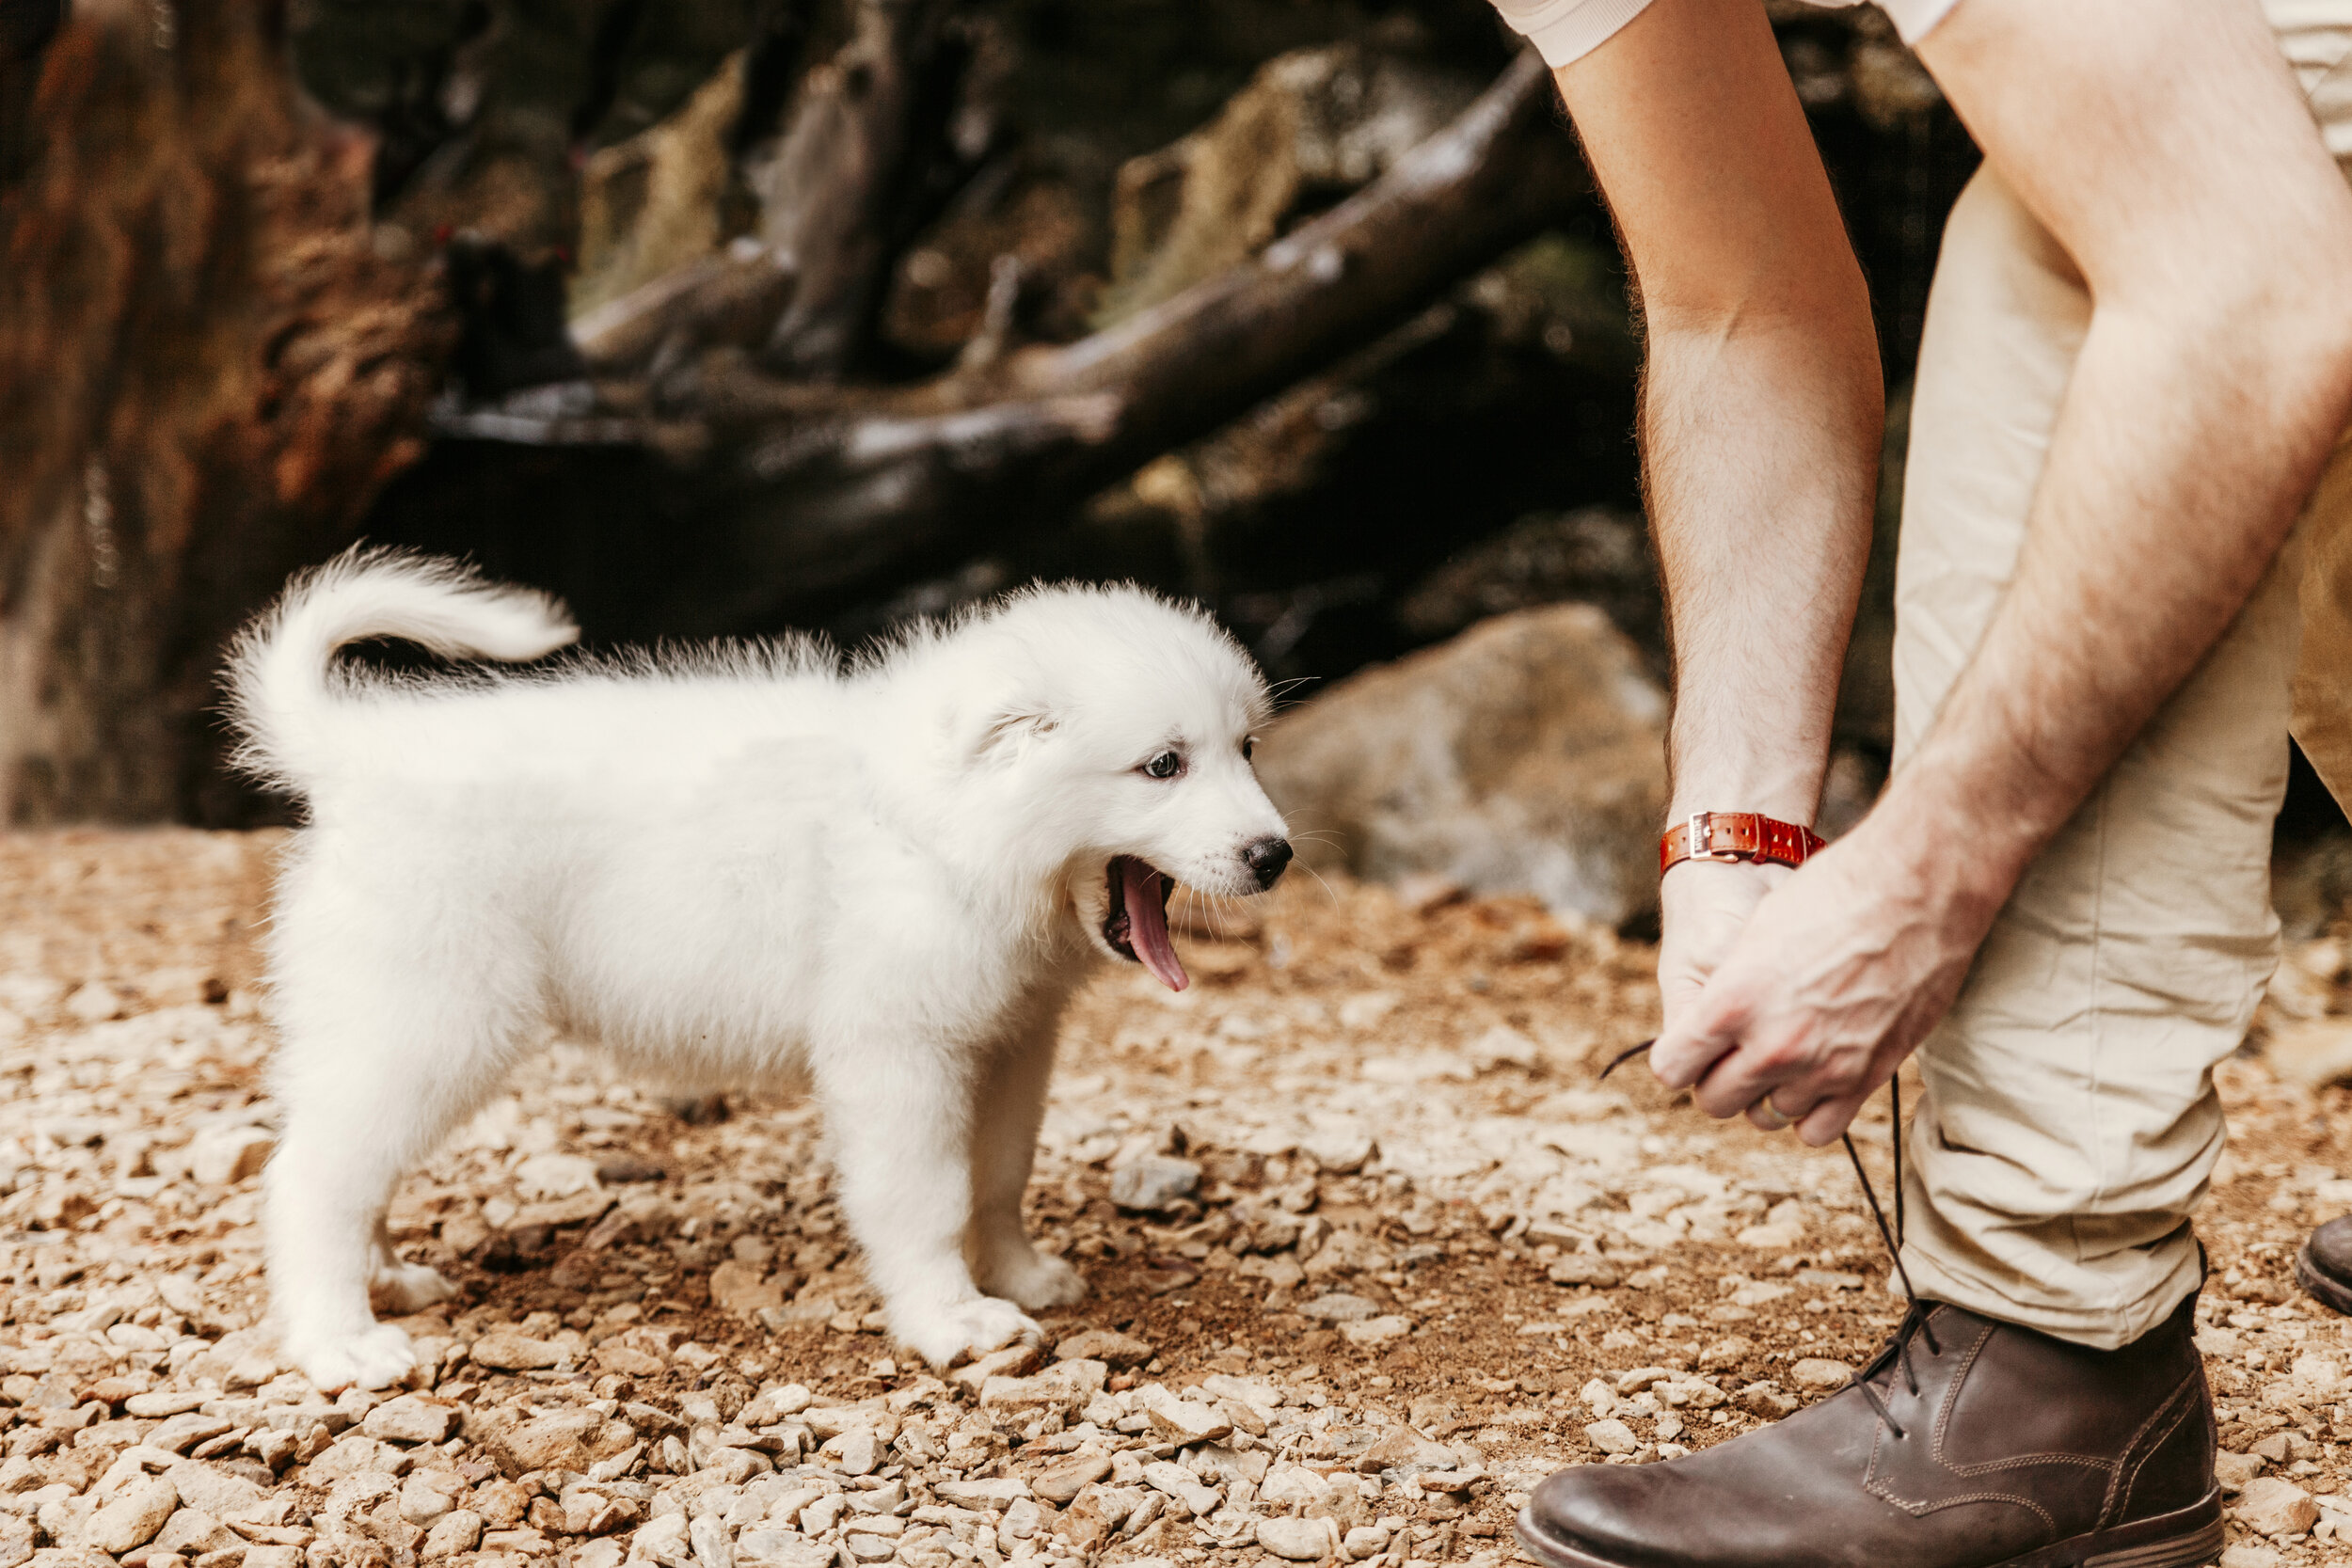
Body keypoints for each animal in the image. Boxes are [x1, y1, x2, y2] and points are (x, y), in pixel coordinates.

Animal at [224, 549, 1289, 1382]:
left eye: (1245, 748)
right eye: (1163, 764)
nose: (1274, 854)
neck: (946, 829)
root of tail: (360, 752)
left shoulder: (1013, 1040)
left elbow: (998, 1174)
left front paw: (1021, 1274)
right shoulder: (899, 1050)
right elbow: (927, 1194)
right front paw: (953, 1319)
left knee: (353, 1160)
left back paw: (387, 1280)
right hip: (432, 1011)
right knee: (308, 1173)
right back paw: (341, 1341)